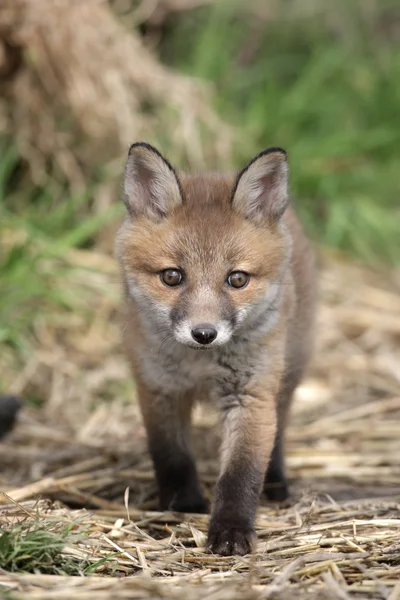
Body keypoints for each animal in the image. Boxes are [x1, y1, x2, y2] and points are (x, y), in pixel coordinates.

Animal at [115, 143, 316, 556]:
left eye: (237, 279)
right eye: (171, 276)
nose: (204, 333)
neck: (200, 366)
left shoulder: (250, 395)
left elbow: (241, 473)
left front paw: (231, 529)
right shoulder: (159, 389)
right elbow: (172, 457)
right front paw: (184, 504)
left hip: (287, 372)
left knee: (279, 430)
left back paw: (275, 483)